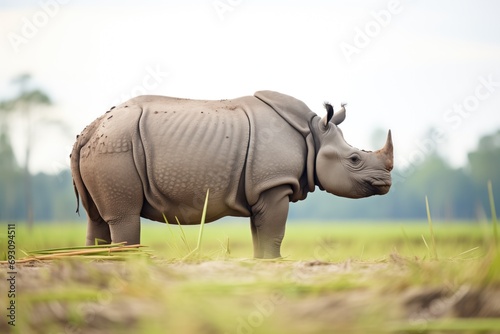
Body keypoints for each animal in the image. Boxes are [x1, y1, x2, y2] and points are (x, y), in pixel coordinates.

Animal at [70, 90, 392, 258]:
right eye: (354, 159)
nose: (387, 182)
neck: (313, 135)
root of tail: (89, 129)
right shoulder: (274, 184)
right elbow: (275, 233)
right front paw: (275, 262)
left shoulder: (261, 189)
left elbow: (260, 234)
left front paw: (262, 263)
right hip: (116, 147)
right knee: (123, 216)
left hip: (102, 146)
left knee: (95, 218)